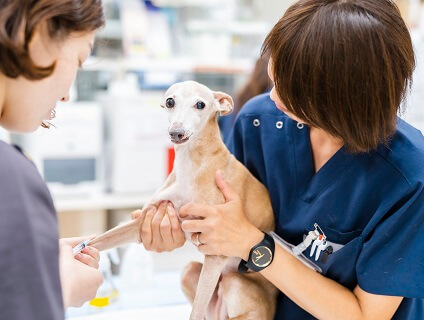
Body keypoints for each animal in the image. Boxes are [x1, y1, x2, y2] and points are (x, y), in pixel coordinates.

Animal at [89, 81, 276, 318]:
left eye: (200, 104)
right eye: (170, 101)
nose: (176, 132)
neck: (191, 165)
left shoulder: (216, 251)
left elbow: (195, 311)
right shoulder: (142, 221)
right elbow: (101, 239)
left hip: (235, 283)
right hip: (189, 273)